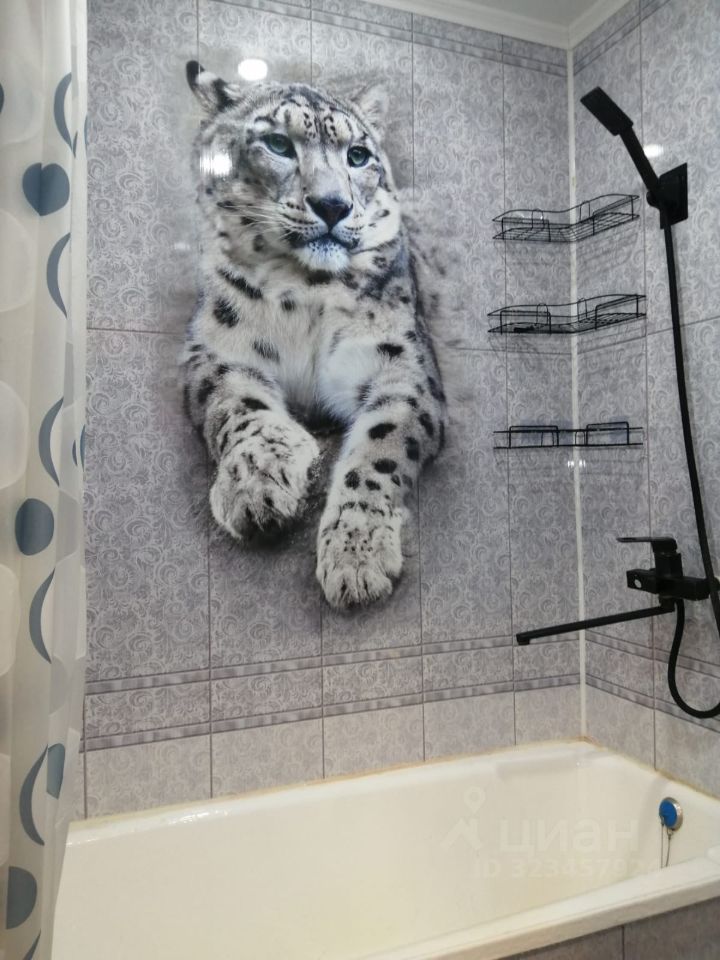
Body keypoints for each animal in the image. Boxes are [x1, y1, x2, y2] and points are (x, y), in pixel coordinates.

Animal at [181, 60, 447, 610]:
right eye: (278, 144)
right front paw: (254, 486)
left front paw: (357, 555)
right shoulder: (216, 350)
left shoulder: (401, 367)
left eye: (358, 155)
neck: (303, 290)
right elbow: (239, 410)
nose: (332, 205)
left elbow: (379, 449)